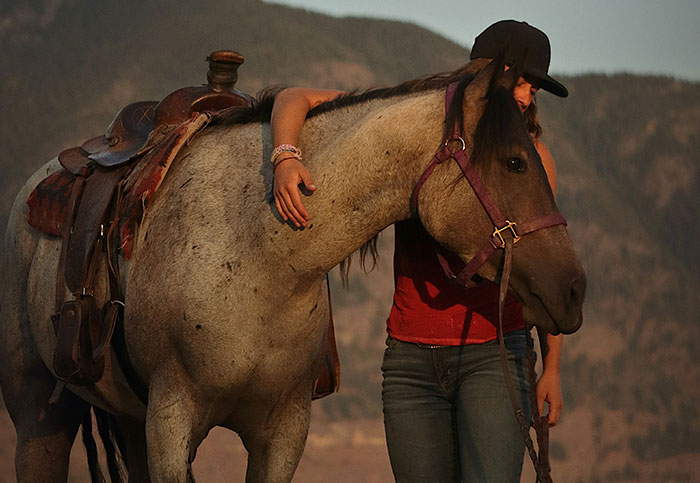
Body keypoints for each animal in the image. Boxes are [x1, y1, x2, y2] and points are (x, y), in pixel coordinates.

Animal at [0, 54, 585, 482]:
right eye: (514, 162)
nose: (576, 290)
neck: (260, 258)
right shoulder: (170, 419)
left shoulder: (282, 431)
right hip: (39, 414)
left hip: (125, 417)